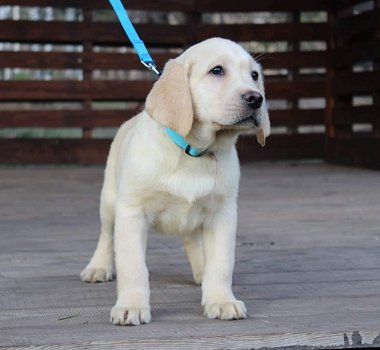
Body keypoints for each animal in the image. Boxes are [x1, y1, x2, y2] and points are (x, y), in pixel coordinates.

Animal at [80, 38, 270, 326]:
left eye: (254, 75)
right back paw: (98, 267)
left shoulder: (223, 213)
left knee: (192, 240)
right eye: (217, 71)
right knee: (106, 236)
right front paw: (131, 306)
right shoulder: (132, 213)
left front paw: (221, 300)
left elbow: (221, 263)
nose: (256, 98)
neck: (193, 151)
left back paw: (201, 271)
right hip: (110, 202)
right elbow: (133, 266)